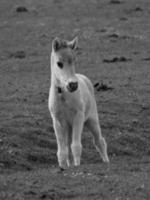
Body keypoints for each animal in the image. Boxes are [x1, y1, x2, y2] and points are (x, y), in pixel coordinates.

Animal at [48, 36, 108, 169]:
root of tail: (83, 77)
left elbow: (76, 146)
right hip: (69, 127)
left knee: (99, 141)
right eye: (59, 63)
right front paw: (63, 167)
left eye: (74, 61)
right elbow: (62, 151)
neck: (63, 95)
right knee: (68, 146)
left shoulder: (78, 117)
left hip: (92, 120)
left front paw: (77, 166)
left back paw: (106, 161)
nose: (73, 85)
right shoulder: (57, 121)